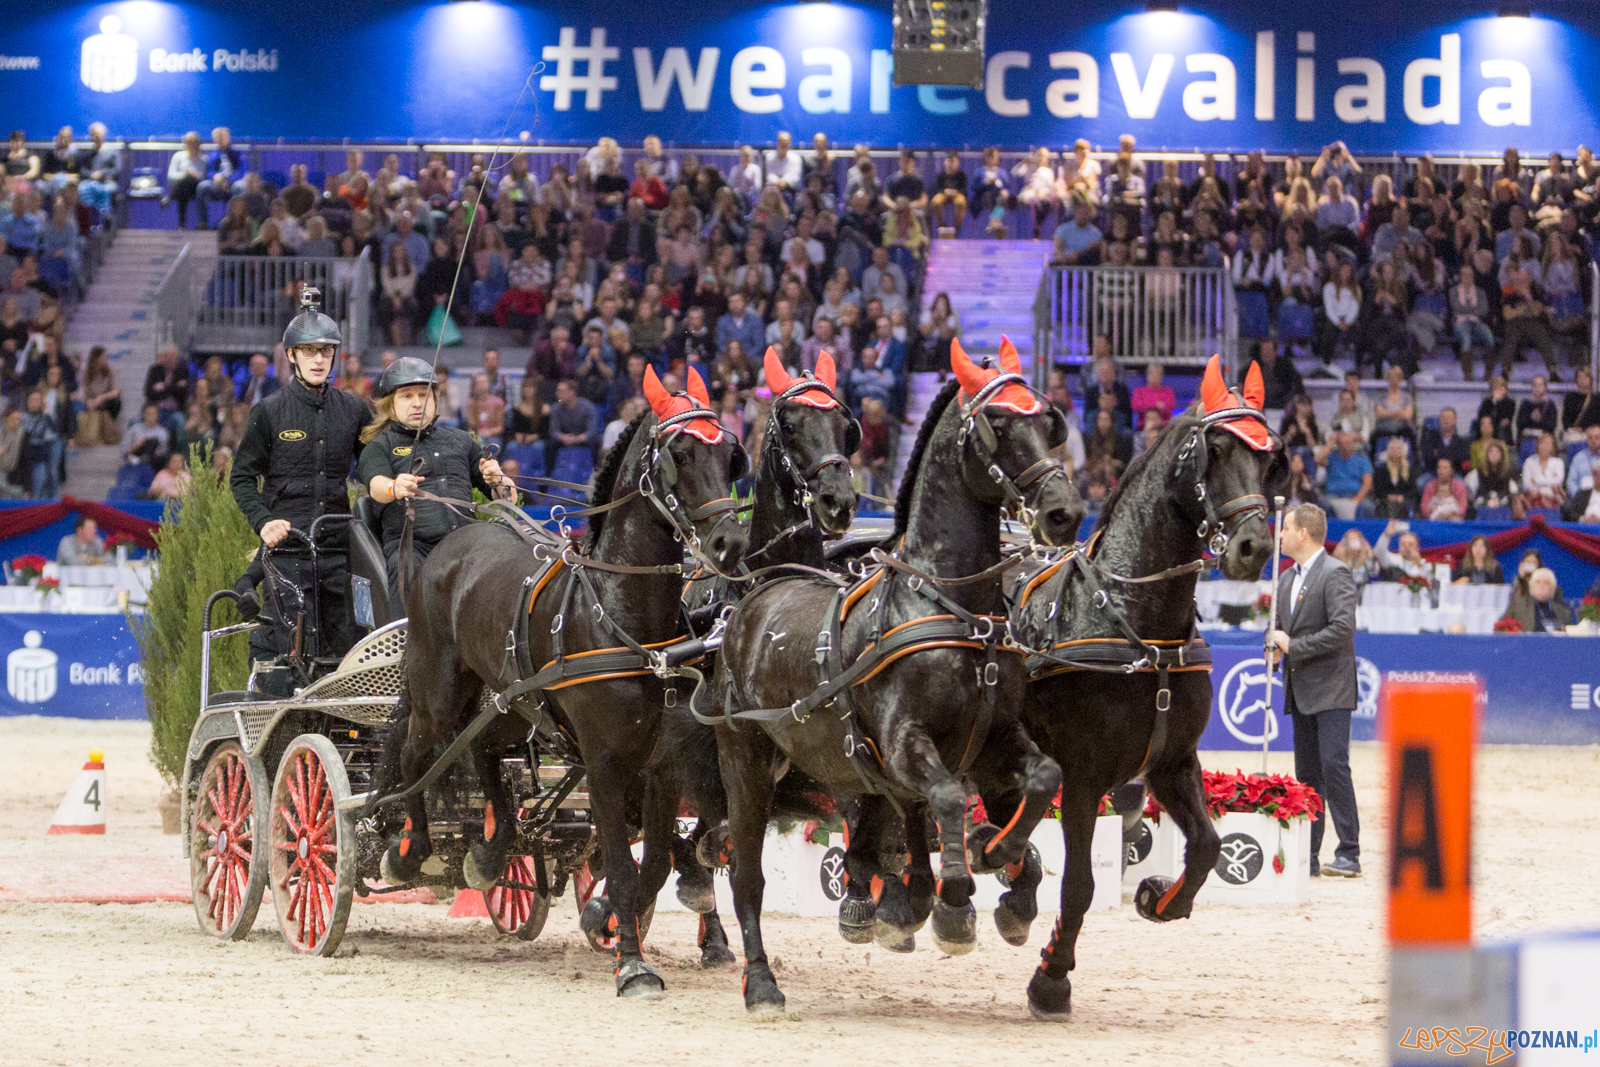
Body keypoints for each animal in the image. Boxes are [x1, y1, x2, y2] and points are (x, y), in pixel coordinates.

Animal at [376, 369, 748, 1004]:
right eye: (679, 454)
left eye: (729, 453)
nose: (729, 544)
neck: (623, 617)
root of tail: (455, 540)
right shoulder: (603, 761)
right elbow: (623, 865)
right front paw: (634, 967)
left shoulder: (659, 764)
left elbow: (652, 864)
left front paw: (605, 920)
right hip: (438, 689)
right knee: (414, 755)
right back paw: (408, 853)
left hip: (509, 701)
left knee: (483, 754)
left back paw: (490, 854)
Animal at [707, 343, 1081, 1017]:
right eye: (998, 425)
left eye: (1049, 419)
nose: (1064, 511)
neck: (950, 605)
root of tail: (759, 594)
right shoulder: (905, 742)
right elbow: (949, 798)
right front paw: (955, 902)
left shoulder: (992, 739)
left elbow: (1043, 777)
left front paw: (1002, 864)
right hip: (745, 762)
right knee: (746, 875)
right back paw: (762, 982)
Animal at [1004, 358, 1280, 1017]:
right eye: (1216, 448)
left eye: (1271, 457)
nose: (1255, 546)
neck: (1136, 623)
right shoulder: (1082, 776)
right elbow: (1079, 885)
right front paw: (1051, 979)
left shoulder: (1172, 762)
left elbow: (1206, 844)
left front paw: (1161, 897)